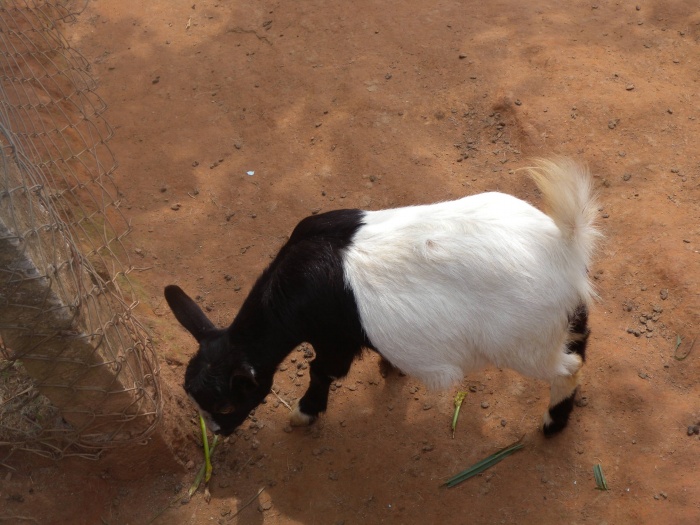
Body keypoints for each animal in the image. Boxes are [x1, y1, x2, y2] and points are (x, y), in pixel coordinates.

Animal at [163, 158, 596, 436]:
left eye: (226, 404)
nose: (217, 434)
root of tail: (564, 247)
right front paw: (390, 368)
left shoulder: (334, 339)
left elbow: (321, 371)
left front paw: (303, 414)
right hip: (564, 317)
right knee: (581, 342)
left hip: (523, 342)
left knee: (568, 367)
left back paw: (552, 425)